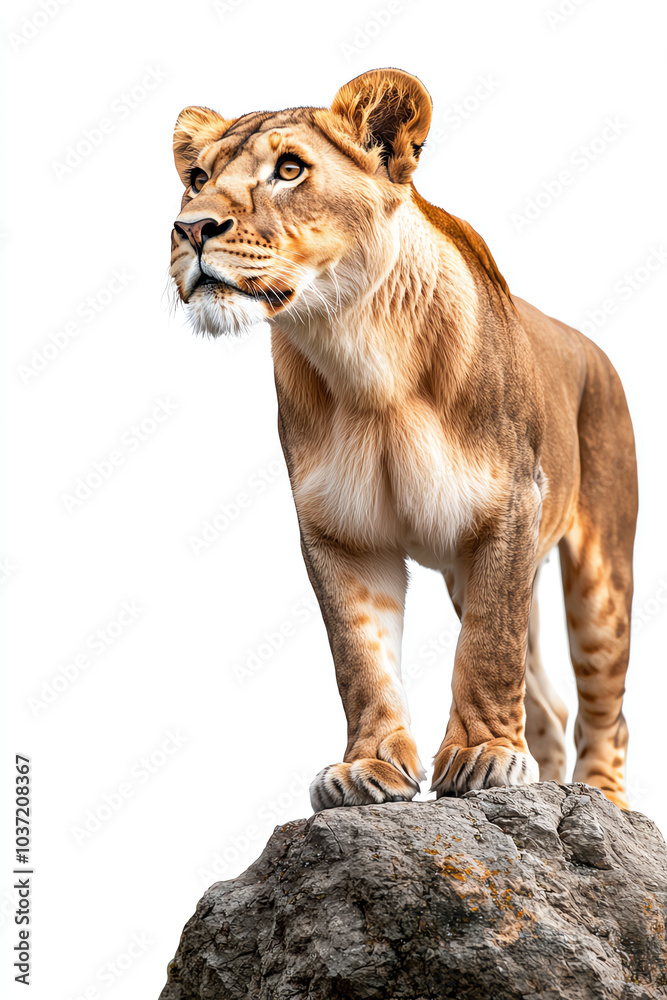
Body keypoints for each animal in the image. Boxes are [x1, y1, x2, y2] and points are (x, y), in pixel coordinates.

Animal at [169, 69, 637, 811]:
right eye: (195, 177)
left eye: (290, 169)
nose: (190, 228)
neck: (360, 357)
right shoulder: (340, 532)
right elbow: (360, 658)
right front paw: (368, 769)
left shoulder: (510, 508)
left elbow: (487, 646)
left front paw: (482, 756)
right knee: (552, 704)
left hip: (600, 573)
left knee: (603, 707)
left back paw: (603, 801)